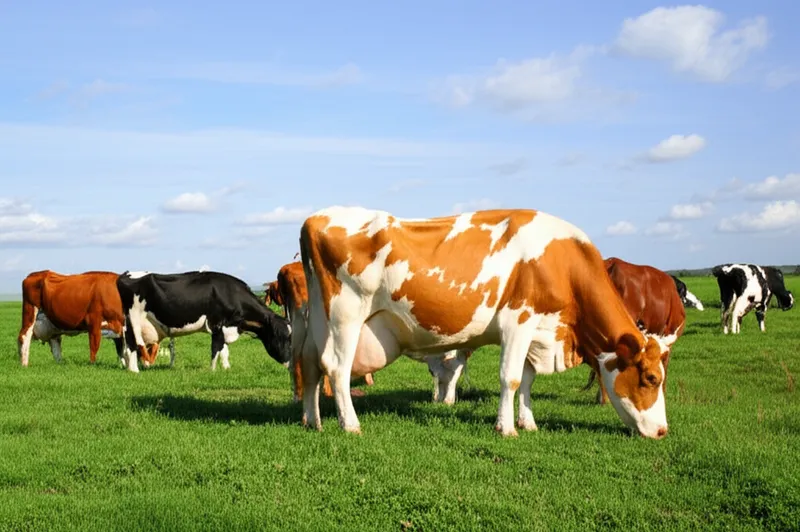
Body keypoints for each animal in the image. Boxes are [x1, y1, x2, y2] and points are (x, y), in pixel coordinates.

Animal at [17, 270, 168, 367]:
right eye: (149, 347)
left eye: (155, 349)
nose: (149, 364)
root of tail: (33, 275)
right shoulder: (94, 322)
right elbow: (94, 346)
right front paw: (93, 365)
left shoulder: (118, 328)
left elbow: (120, 349)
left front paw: (123, 364)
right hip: (30, 311)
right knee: (24, 336)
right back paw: (24, 364)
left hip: (52, 325)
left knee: (55, 344)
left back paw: (60, 363)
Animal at [117, 270, 292, 373]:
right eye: (281, 337)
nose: (290, 363)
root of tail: (125, 274)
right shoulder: (218, 325)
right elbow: (216, 349)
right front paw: (213, 370)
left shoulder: (226, 327)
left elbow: (224, 350)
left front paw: (226, 368)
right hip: (134, 320)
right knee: (132, 344)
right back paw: (134, 370)